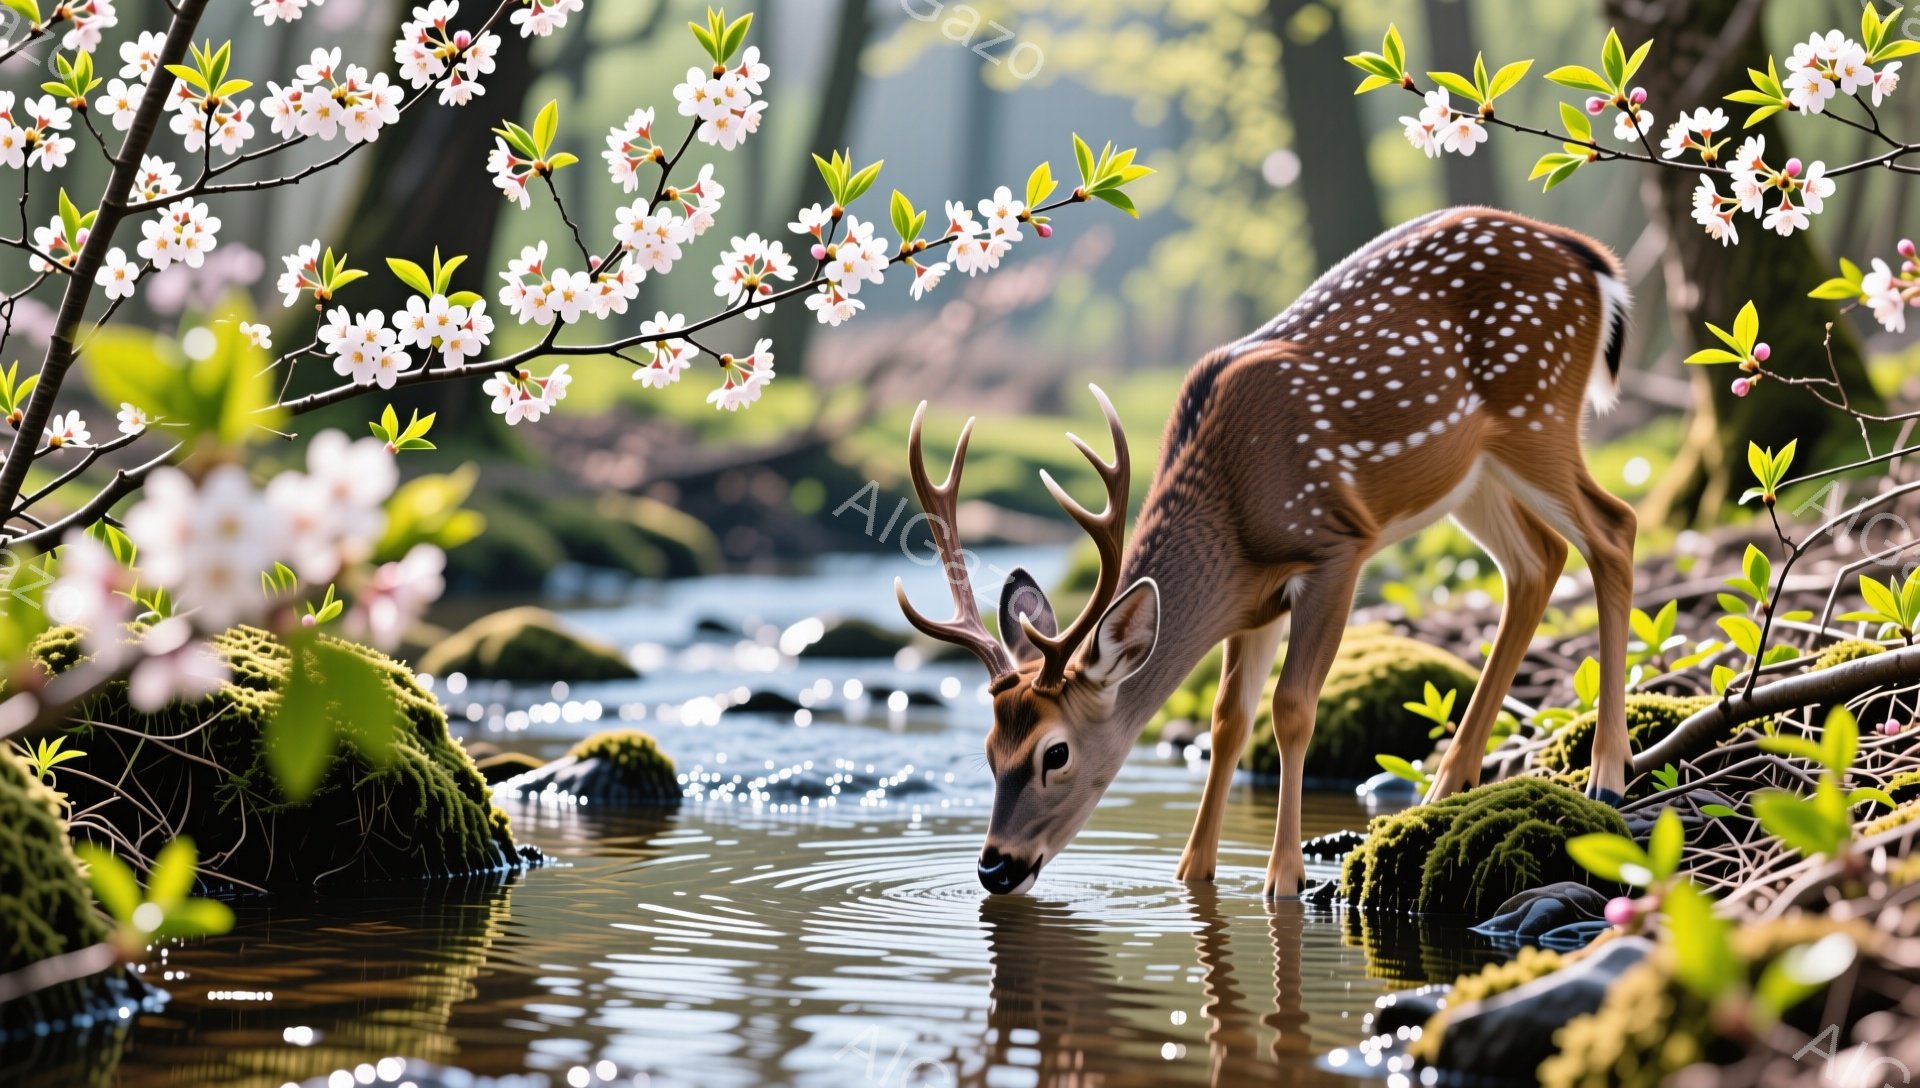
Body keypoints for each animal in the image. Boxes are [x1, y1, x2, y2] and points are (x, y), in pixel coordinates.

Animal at [896, 207, 1638, 898]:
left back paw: (1606, 775)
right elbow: (1228, 721)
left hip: (1536, 410)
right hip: (1474, 475)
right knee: (1537, 561)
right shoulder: (1252, 604)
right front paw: (1191, 872)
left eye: (1056, 752)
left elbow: (1292, 708)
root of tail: (1593, 261)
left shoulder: (1336, 547)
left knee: (1615, 528)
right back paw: (1449, 783)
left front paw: (1281, 878)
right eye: (990, 749)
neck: (1232, 522)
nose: (995, 866)